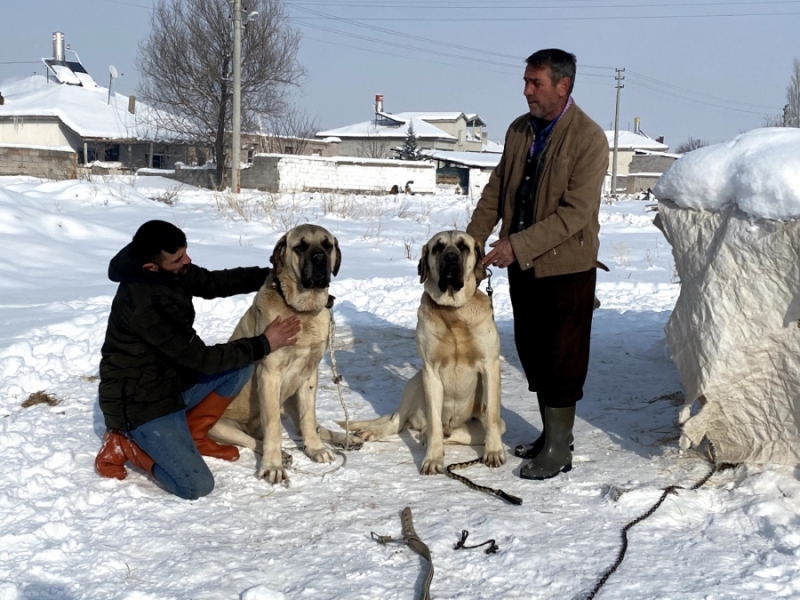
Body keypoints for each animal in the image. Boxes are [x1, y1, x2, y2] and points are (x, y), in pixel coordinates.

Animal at [209, 224, 360, 482]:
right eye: (300, 247)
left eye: (327, 245)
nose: (320, 259)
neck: (302, 310)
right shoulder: (269, 374)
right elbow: (273, 427)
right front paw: (273, 465)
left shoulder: (309, 374)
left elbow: (309, 419)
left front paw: (316, 449)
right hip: (221, 426)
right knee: (253, 439)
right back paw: (283, 454)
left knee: (311, 425)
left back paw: (344, 438)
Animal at [340, 230, 504, 474]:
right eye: (438, 248)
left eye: (462, 247)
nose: (451, 258)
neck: (453, 311)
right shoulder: (430, 371)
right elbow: (434, 421)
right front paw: (433, 459)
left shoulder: (490, 366)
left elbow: (492, 415)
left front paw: (493, 452)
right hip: (414, 382)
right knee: (397, 421)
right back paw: (375, 432)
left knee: (457, 432)